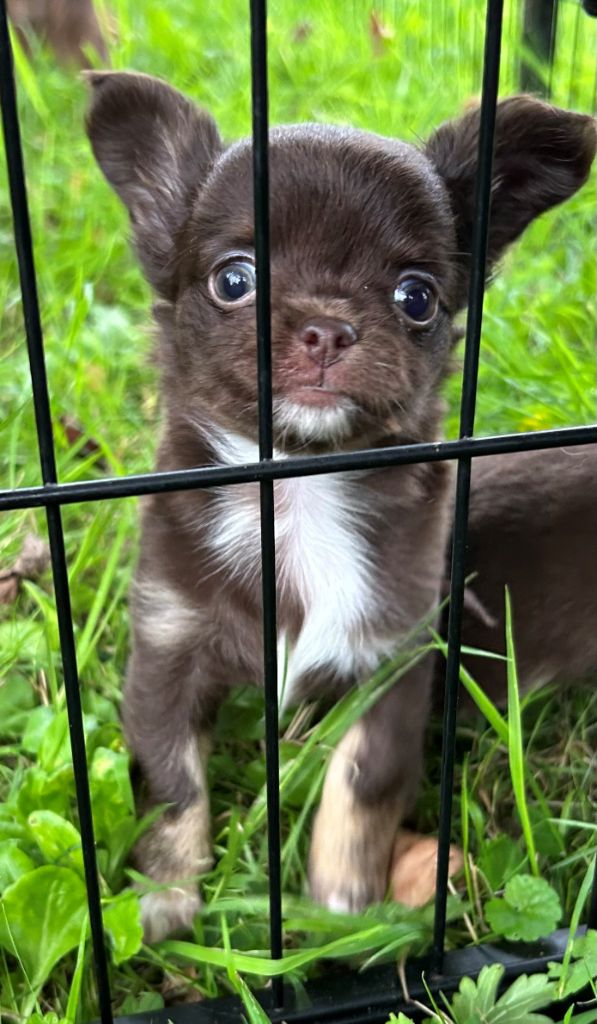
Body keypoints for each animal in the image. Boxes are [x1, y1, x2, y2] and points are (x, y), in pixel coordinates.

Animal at [85, 70, 596, 942]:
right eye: (233, 280)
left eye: (416, 297)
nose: (326, 326)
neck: (295, 486)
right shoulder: (166, 647)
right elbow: (173, 783)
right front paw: (167, 900)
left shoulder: (392, 655)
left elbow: (362, 778)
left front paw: (340, 903)